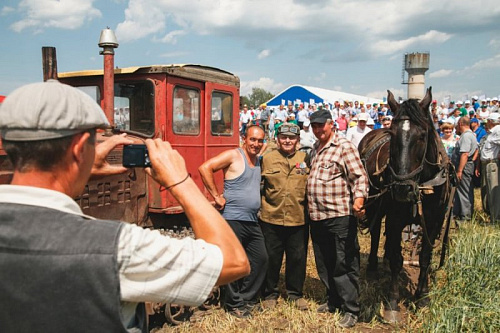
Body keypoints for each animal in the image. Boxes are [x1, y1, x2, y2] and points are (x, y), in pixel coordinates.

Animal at [360, 88, 454, 322]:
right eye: (393, 135)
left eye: (422, 135)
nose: (403, 188)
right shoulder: (395, 219)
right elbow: (397, 258)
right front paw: (392, 303)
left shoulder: (434, 222)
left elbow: (424, 258)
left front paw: (422, 297)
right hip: (375, 204)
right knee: (376, 232)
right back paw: (374, 266)